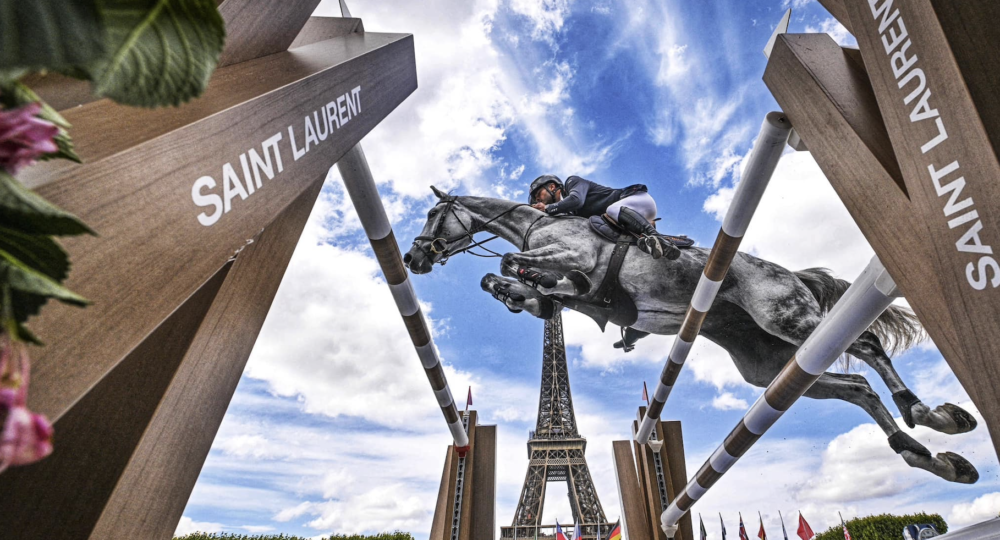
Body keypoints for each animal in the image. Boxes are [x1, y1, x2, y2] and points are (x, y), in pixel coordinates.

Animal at [404, 188, 976, 484]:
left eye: (433, 212)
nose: (412, 257)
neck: (538, 223)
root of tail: (790, 273)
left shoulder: (571, 257)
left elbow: (513, 262)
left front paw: (537, 280)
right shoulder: (559, 297)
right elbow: (516, 284)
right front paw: (517, 290)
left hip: (787, 319)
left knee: (871, 349)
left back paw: (930, 415)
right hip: (770, 365)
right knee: (857, 388)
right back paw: (926, 454)